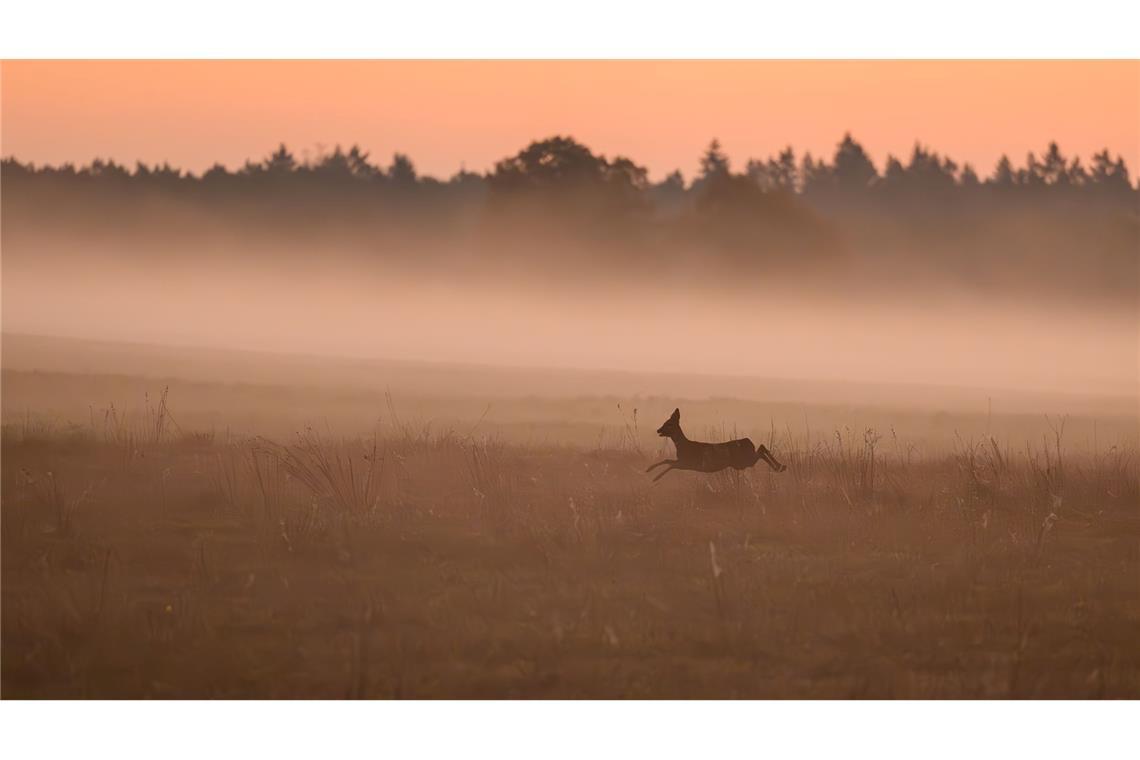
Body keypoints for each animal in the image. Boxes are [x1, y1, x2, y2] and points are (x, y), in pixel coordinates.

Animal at [647, 407, 788, 485]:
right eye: (665, 422)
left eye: (669, 424)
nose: (658, 430)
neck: (683, 446)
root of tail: (748, 441)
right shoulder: (683, 461)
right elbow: (667, 460)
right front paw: (649, 470)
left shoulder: (688, 463)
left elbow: (670, 464)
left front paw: (655, 478)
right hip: (742, 462)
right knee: (761, 448)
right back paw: (781, 467)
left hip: (742, 461)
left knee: (761, 450)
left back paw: (780, 466)